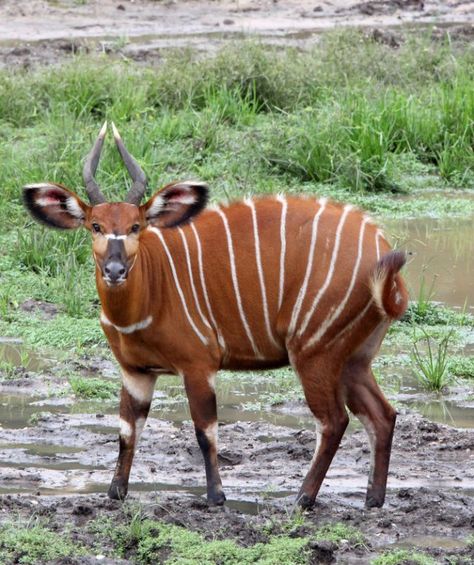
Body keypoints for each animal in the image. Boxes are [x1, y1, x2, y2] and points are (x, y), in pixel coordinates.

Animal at [22, 122, 408, 506]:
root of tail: (381, 248)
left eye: (136, 226)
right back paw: (373, 499)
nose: (115, 269)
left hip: (315, 352)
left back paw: (302, 499)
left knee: (334, 421)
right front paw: (115, 492)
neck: (148, 294)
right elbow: (127, 432)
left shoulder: (199, 365)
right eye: (95, 226)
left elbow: (205, 430)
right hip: (353, 358)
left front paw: (216, 496)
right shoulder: (136, 371)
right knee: (382, 414)